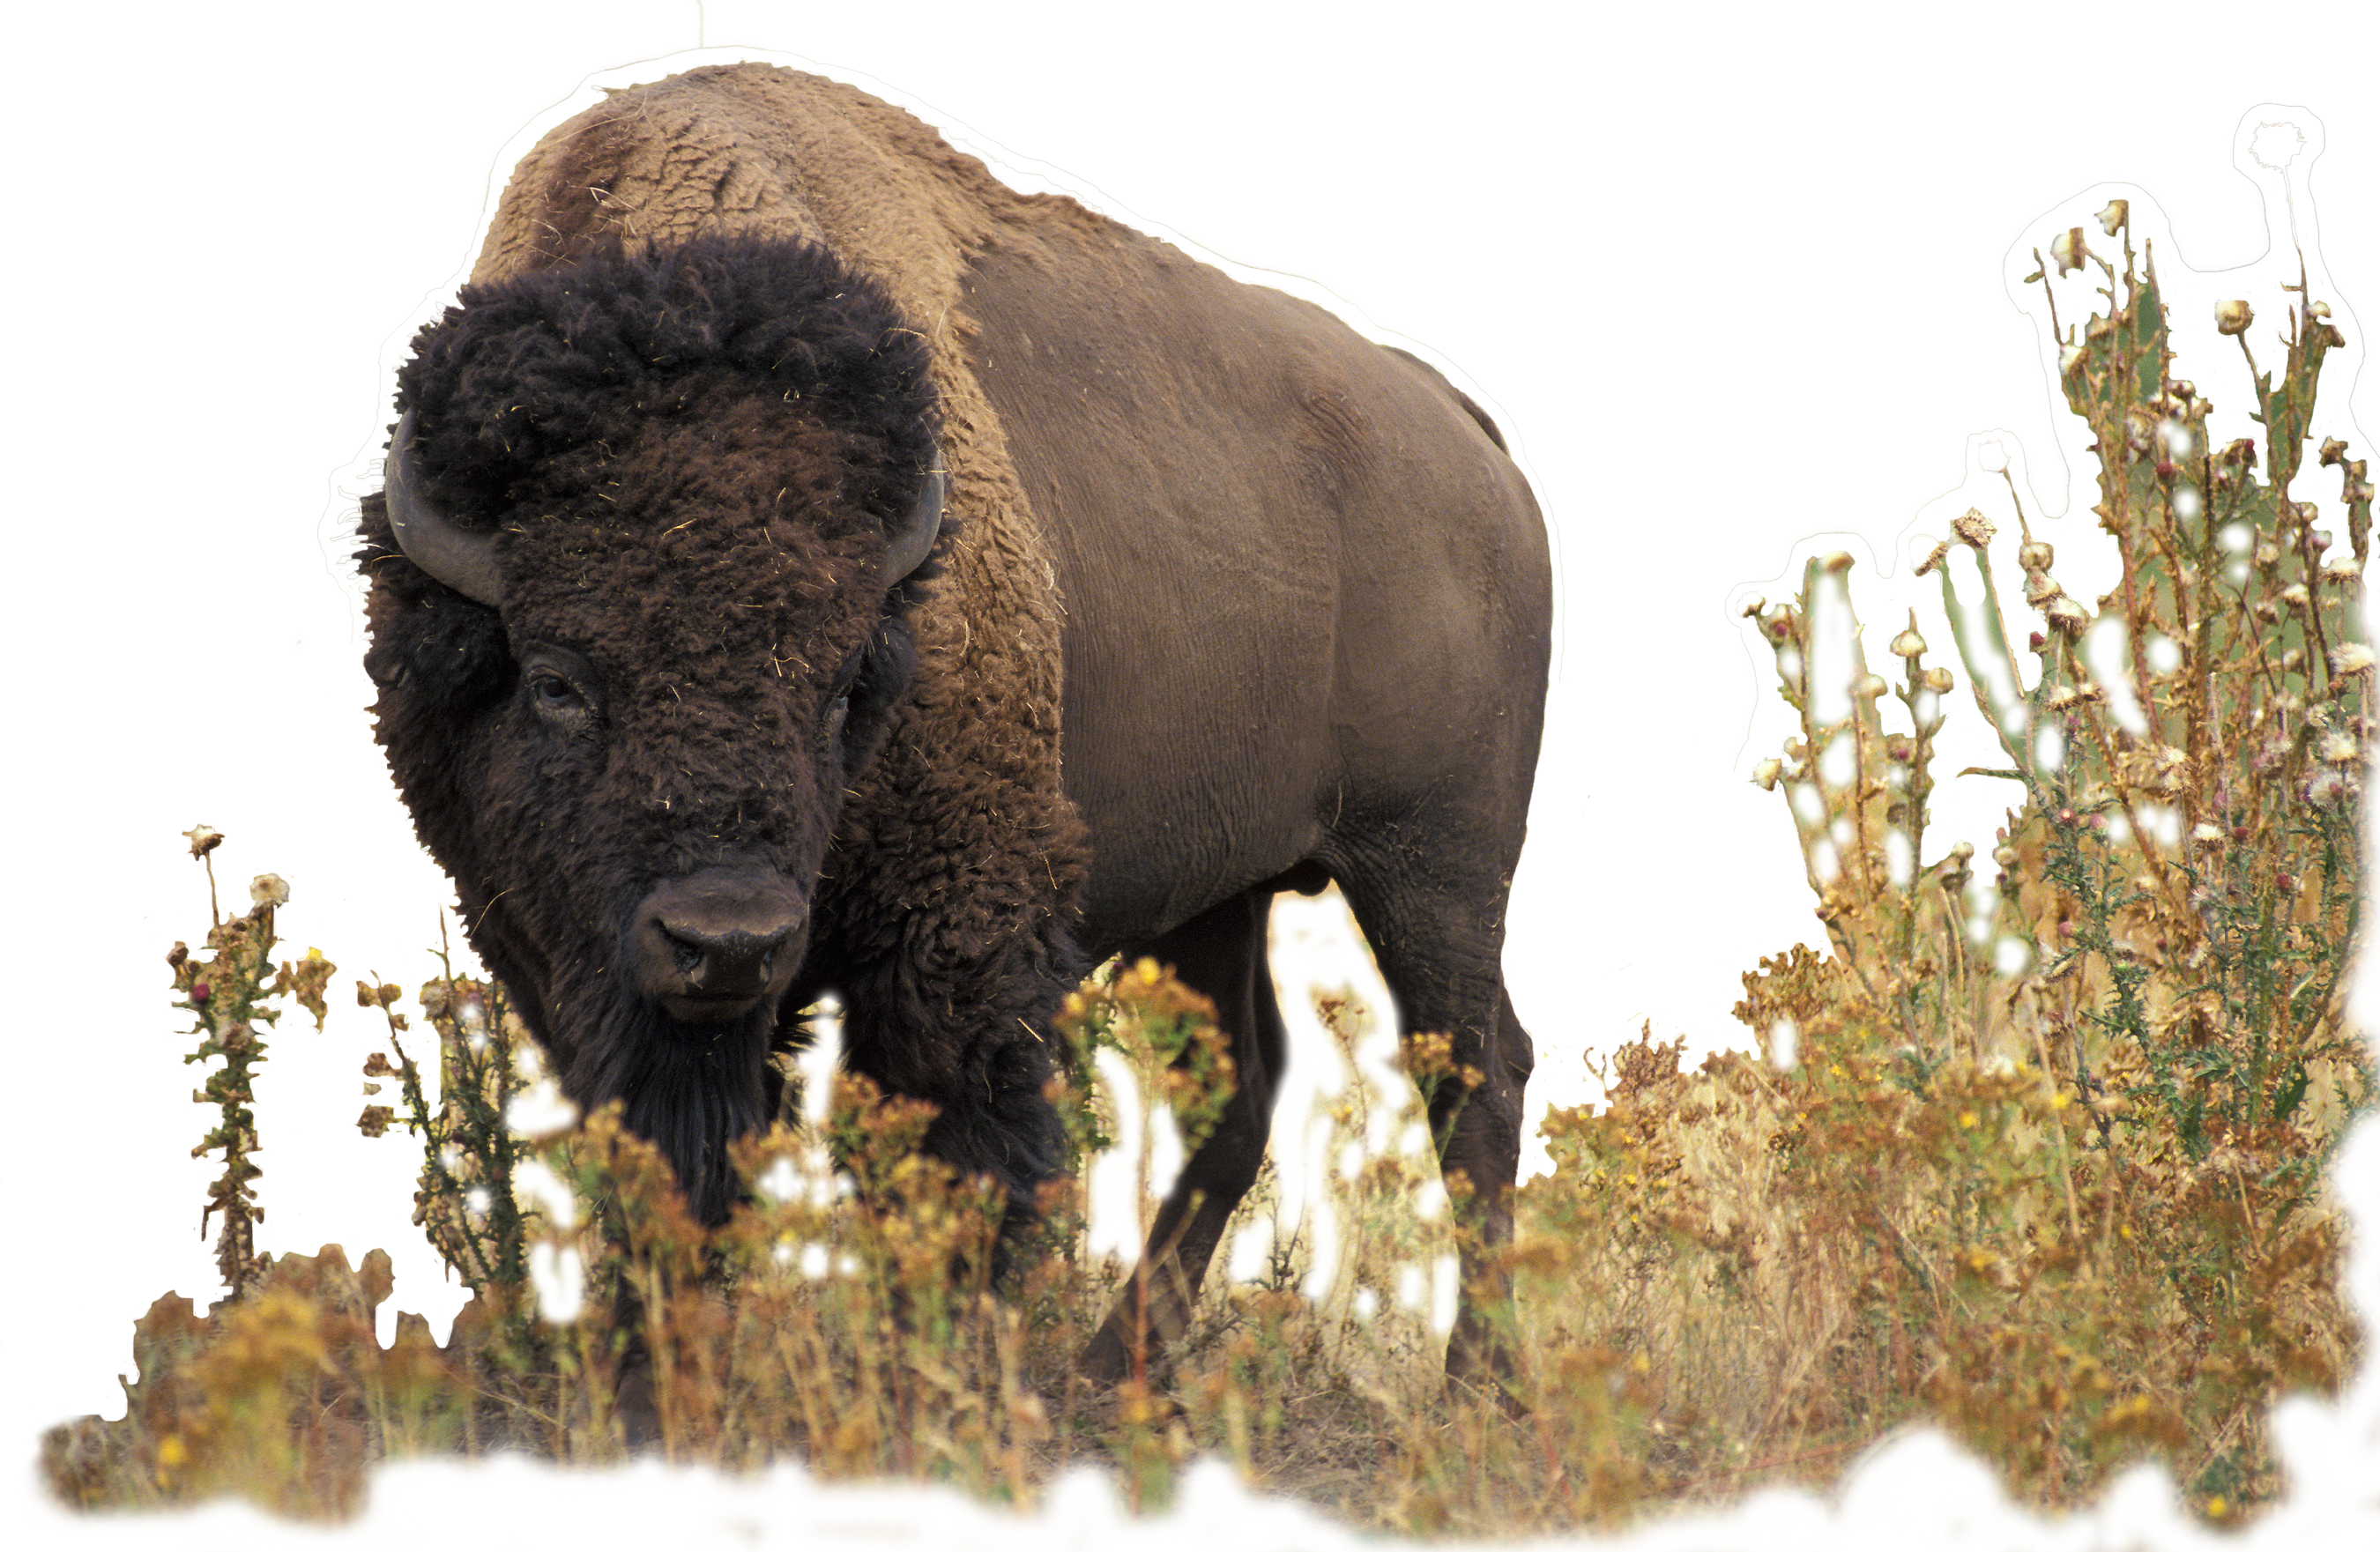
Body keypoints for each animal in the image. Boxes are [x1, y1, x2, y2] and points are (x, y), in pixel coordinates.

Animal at [347, 59, 1551, 1383]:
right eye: (557, 680)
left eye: (842, 684)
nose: (729, 941)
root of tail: (1467, 434)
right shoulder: (563, 955)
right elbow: (668, 1162)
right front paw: (651, 1372)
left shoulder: (955, 939)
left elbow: (951, 1164)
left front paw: (929, 1375)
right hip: (1224, 885)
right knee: (1251, 1079)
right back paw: (1117, 1368)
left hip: (1434, 865)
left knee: (1475, 1076)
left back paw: (1473, 1381)